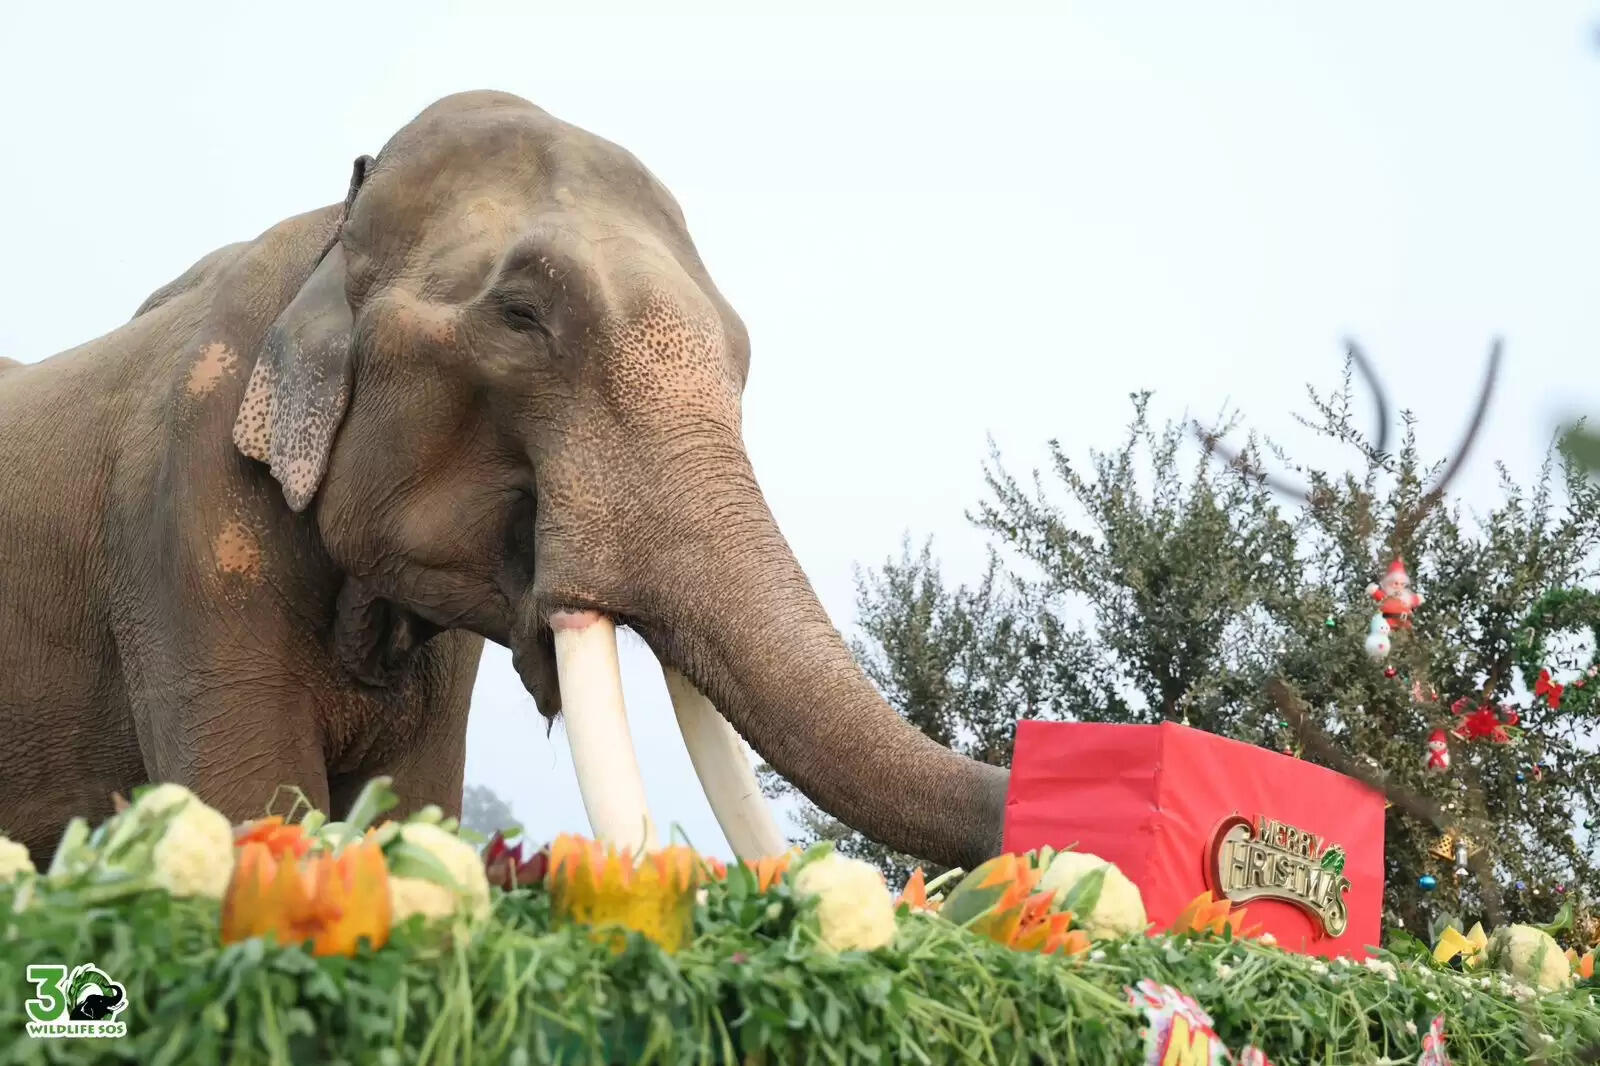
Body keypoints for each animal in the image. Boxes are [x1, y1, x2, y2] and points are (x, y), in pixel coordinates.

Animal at [0, 91, 1007, 871]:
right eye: (522, 317)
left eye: (745, 351)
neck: (332, 234)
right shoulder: (187, 531)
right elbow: (251, 803)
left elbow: (411, 807)